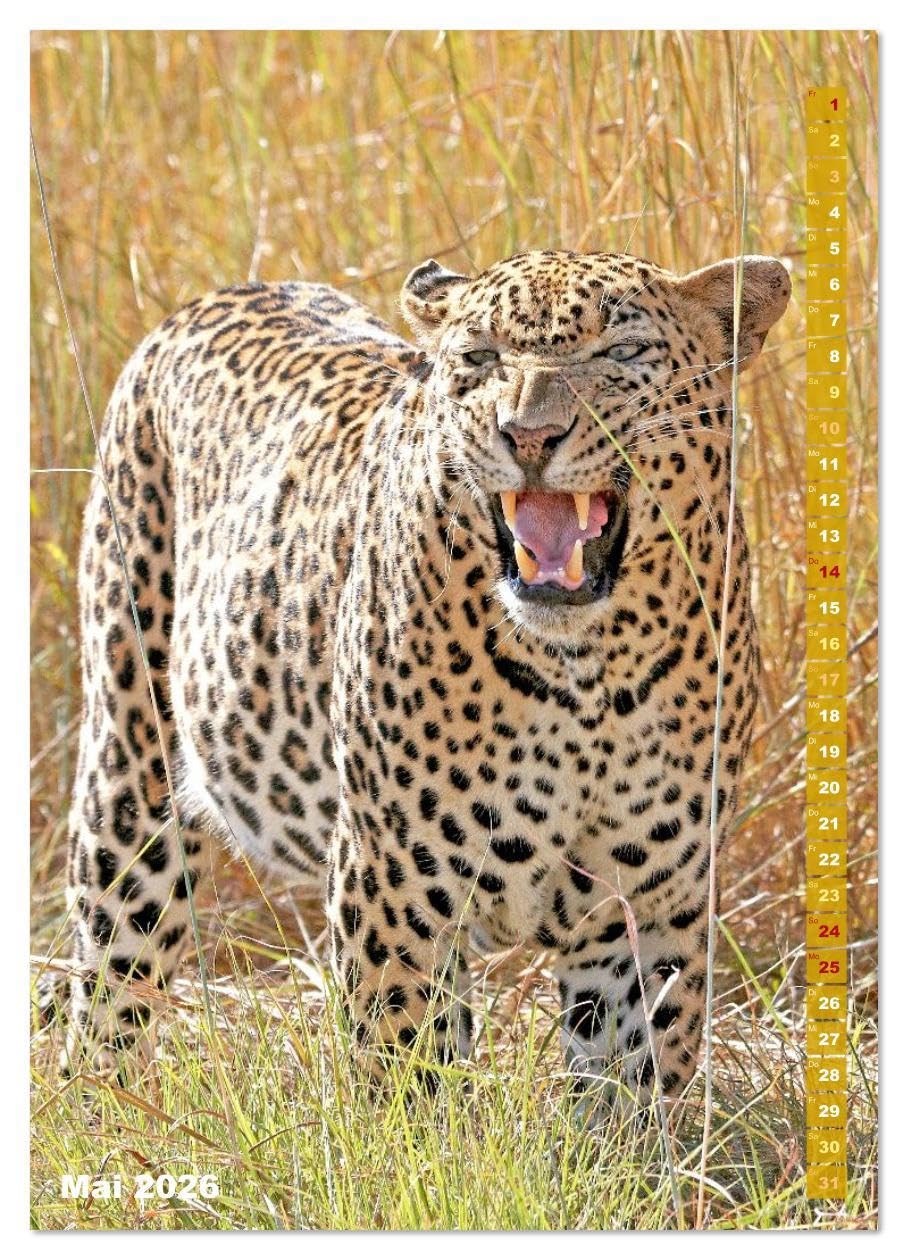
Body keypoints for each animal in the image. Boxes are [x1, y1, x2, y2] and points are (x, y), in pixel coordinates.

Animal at [58, 247, 790, 1103]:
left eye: (621, 352)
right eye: (479, 359)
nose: (529, 435)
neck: (586, 672)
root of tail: (224, 294)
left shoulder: (647, 908)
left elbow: (631, 1091)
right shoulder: (393, 890)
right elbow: (409, 1081)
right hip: (128, 779)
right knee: (109, 991)